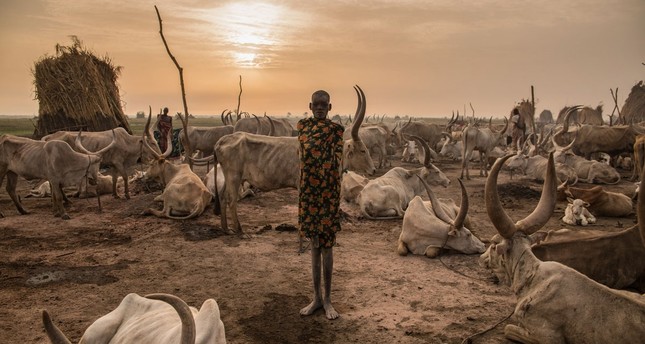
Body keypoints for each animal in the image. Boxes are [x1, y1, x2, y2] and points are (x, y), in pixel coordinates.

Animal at [209, 84, 374, 234]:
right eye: (363, 150)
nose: (372, 169)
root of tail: (221, 141)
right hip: (234, 177)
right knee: (231, 200)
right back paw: (238, 230)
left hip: (229, 177)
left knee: (222, 198)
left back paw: (225, 229)